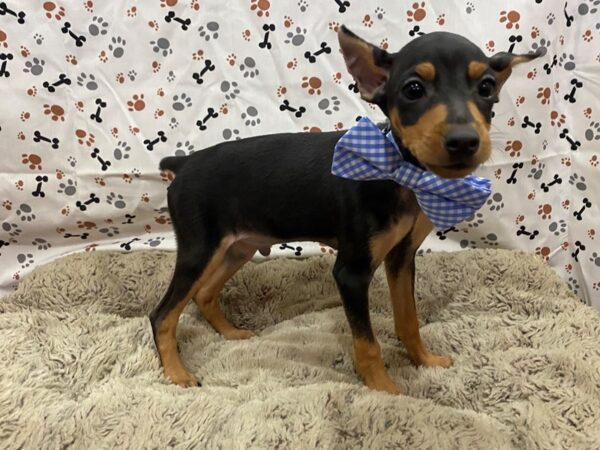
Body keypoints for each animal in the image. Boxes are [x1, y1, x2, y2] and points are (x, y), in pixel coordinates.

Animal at [150, 26, 540, 396]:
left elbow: (408, 321)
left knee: (203, 293)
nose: (464, 142)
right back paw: (178, 374)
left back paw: (231, 334)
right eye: (413, 89)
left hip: (238, 247)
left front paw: (424, 360)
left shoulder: (401, 258)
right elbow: (367, 344)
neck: (400, 175)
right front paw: (384, 391)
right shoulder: (351, 273)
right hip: (200, 250)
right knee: (162, 315)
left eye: (487, 87)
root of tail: (184, 163)